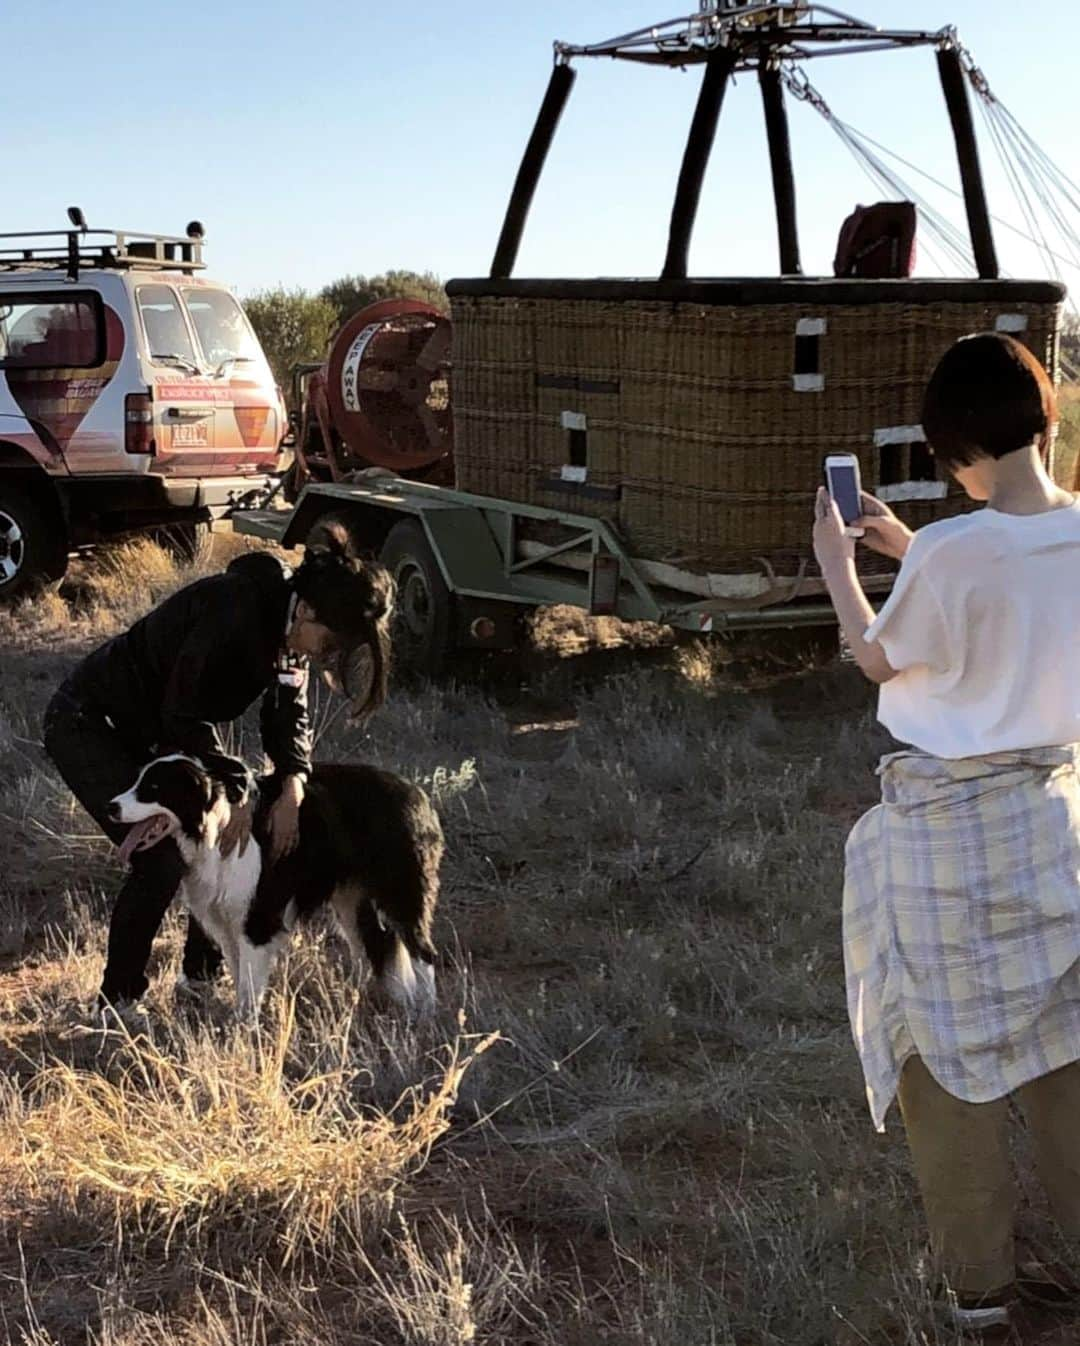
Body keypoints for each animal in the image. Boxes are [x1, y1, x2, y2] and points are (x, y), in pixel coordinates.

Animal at [110, 759, 441, 1017]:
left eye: (153, 789)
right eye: (138, 781)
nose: (111, 807)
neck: (212, 825)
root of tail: (419, 795)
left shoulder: (257, 920)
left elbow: (250, 983)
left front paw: (245, 1032)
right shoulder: (227, 922)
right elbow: (240, 975)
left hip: (402, 892)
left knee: (423, 952)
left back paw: (425, 1013)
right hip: (350, 902)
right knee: (374, 945)